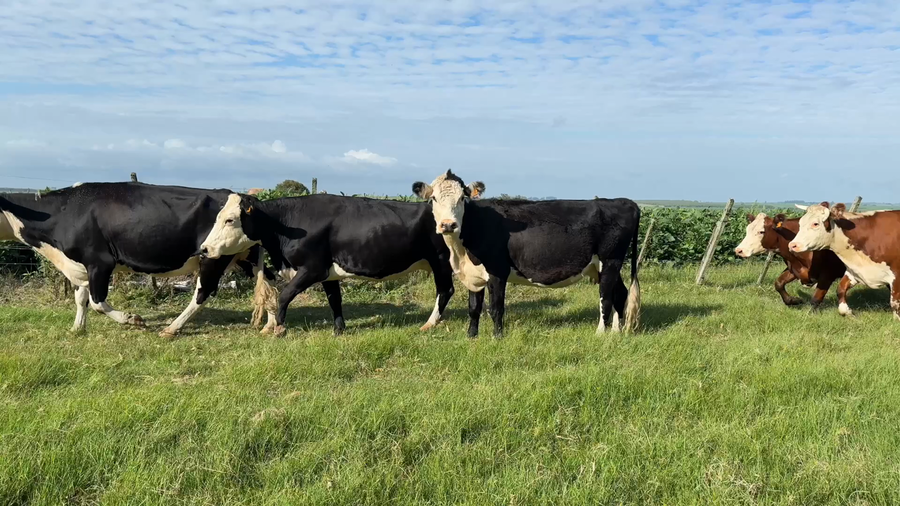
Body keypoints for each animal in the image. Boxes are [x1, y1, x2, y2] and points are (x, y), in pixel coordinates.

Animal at [0, 182, 277, 337]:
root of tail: (247, 198)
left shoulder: (99, 262)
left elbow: (97, 302)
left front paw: (133, 319)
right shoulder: (79, 266)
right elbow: (81, 299)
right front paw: (77, 329)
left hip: (214, 256)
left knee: (202, 293)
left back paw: (171, 328)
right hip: (244, 255)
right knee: (270, 284)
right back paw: (272, 326)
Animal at [198, 193, 460, 336]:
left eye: (230, 220)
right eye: (218, 217)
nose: (204, 248)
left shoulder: (312, 268)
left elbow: (285, 295)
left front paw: (280, 329)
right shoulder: (328, 273)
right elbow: (335, 300)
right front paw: (339, 330)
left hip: (440, 260)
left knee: (445, 290)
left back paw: (429, 323)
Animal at [409, 169, 641, 338]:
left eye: (461, 198)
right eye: (434, 198)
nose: (448, 225)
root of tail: (624, 201)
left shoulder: (497, 271)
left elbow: (496, 308)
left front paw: (497, 338)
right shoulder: (473, 274)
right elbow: (474, 308)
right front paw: (471, 337)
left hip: (610, 260)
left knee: (606, 296)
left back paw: (601, 333)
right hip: (603, 265)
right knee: (620, 293)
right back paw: (617, 332)